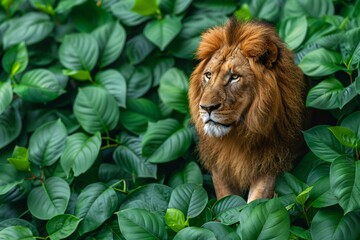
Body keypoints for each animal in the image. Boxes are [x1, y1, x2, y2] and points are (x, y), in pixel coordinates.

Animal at [188, 18, 306, 202]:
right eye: (208, 75)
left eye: (234, 77)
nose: (206, 107)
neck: (238, 136)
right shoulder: (220, 168)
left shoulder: (272, 163)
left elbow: (255, 203)